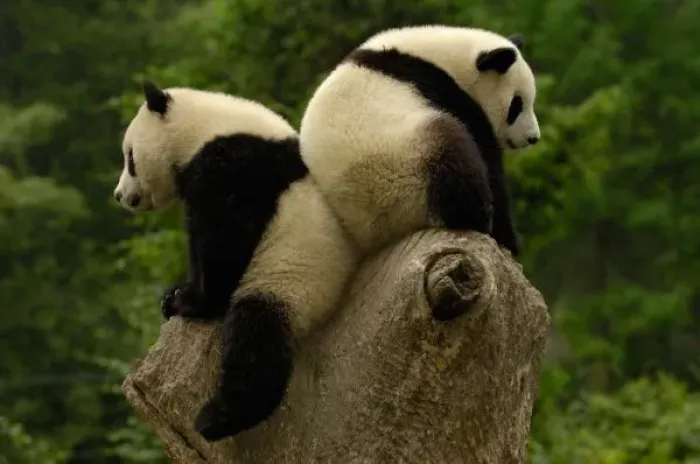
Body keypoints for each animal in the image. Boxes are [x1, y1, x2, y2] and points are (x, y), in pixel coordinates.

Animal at [113, 81, 357, 441]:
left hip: (290, 277)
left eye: (130, 158)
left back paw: (217, 418)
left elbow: (224, 238)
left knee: (254, 338)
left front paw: (189, 302)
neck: (205, 127)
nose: (120, 195)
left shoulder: (233, 165)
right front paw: (173, 294)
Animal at [299, 25, 541, 258]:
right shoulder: (446, 91)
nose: (533, 137)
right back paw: (478, 218)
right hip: (406, 162)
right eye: (516, 105)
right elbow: (487, 156)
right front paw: (510, 238)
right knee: (453, 156)